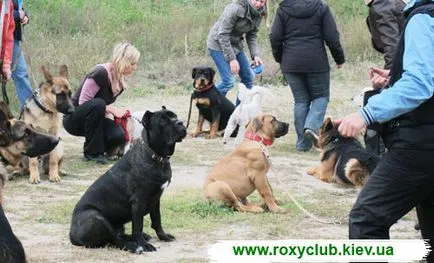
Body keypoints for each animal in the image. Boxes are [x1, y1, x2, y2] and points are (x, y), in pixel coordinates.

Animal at [69, 106, 186, 255]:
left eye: (174, 116)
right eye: (163, 121)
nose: (180, 122)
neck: (157, 156)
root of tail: (71, 235)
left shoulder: (156, 199)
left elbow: (157, 220)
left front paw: (163, 236)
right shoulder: (138, 201)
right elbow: (138, 226)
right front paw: (144, 244)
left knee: (119, 235)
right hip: (94, 217)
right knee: (115, 240)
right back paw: (136, 246)